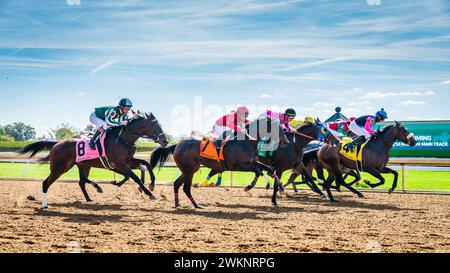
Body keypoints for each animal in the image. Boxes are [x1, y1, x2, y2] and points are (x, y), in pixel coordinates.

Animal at [19, 111, 169, 207]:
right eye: (155, 125)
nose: (165, 141)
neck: (123, 138)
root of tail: (57, 143)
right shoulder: (120, 163)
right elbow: (134, 176)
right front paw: (149, 193)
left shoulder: (127, 161)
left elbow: (145, 164)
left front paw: (151, 184)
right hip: (59, 168)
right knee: (46, 183)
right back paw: (45, 205)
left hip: (81, 165)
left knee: (81, 181)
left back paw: (91, 196)